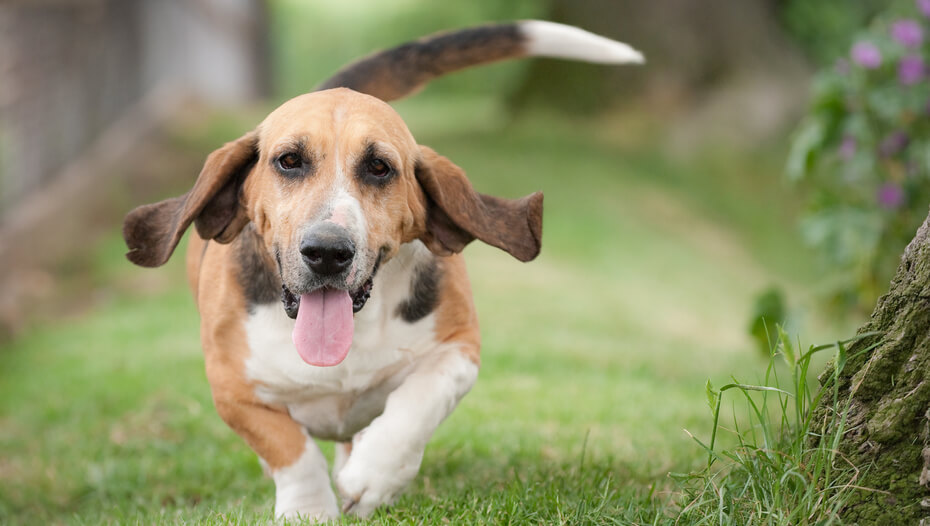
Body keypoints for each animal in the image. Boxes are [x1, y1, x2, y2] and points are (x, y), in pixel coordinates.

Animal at [123, 20, 640, 524]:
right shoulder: (232, 388)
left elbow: (420, 401)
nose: (328, 251)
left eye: (378, 167)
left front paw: (373, 477)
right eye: (288, 161)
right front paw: (308, 510)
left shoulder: (459, 349)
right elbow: (291, 449)